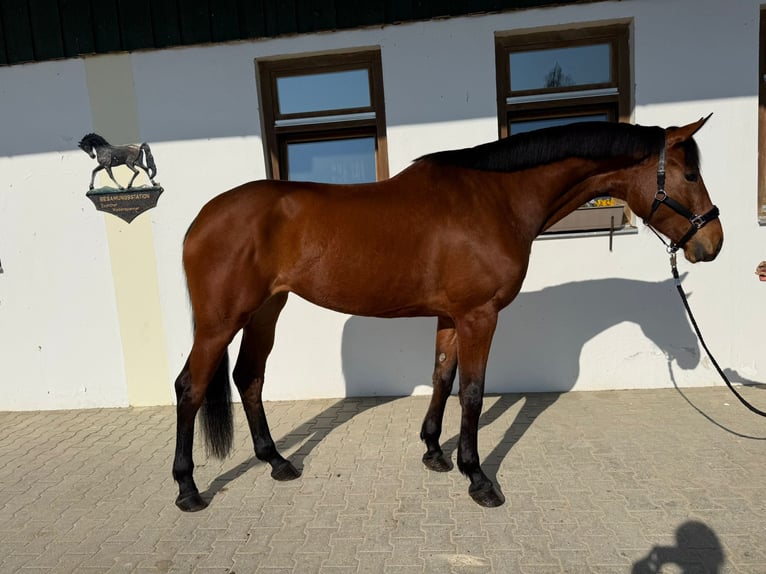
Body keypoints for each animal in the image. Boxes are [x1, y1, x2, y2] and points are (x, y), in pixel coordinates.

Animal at [172, 117, 723, 512]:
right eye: (690, 174)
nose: (712, 243)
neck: (496, 199)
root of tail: (201, 218)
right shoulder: (480, 315)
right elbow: (473, 393)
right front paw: (477, 477)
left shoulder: (452, 317)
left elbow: (441, 377)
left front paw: (434, 453)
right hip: (221, 321)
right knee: (190, 388)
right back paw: (188, 489)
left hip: (266, 310)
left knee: (249, 378)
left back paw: (277, 462)